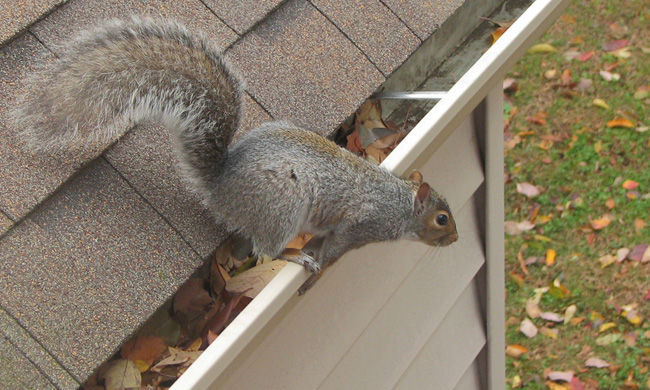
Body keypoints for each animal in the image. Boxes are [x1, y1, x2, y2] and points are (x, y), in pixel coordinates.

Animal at [10, 18, 456, 292]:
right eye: (441, 219)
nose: (454, 239)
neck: (398, 202)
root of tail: (220, 186)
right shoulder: (361, 226)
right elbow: (334, 249)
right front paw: (320, 263)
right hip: (282, 205)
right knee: (266, 251)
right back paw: (295, 258)